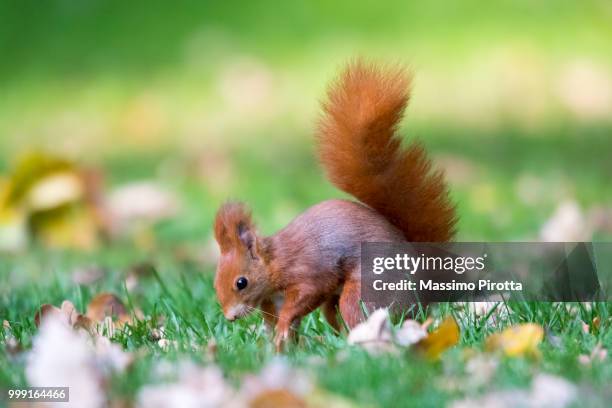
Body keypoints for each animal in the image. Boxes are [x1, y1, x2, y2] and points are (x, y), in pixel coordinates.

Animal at [213, 60, 456, 350]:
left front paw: (282, 328)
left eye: (241, 282)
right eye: (215, 281)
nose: (229, 317)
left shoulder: (308, 271)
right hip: (335, 302)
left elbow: (305, 296)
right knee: (333, 314)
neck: (275, 262)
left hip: (365, 290)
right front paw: (279, 342)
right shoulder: (274, 298)